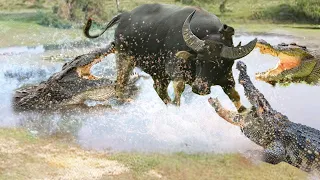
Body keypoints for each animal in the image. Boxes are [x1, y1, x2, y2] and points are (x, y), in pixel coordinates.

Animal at [84, 3, 256, 112]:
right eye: (199, 60)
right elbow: (179, 90)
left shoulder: (227, 79)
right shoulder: (176, 72)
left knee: (158, 88)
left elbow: (236, 96)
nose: (199, 88)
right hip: (124, 57)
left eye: (219, 63)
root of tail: (124, 15)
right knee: (120, 84)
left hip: (157, 71)